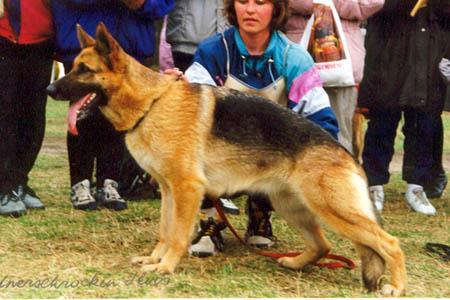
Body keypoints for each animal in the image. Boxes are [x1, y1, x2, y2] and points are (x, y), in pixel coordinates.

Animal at [46, 22, 408, 296]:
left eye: (84, 70)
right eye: (73, 67)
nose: (49, 90)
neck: (152, 103)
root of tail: (346, 153)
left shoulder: (187, 189)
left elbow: (177, 235)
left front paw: (166, 266)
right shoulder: (169, 191)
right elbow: (164, 230)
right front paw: (154, 259)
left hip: (333, 209)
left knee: (390, 243)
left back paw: (397, 286)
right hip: (294, 208)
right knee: (323, 245)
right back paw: (294, 262)